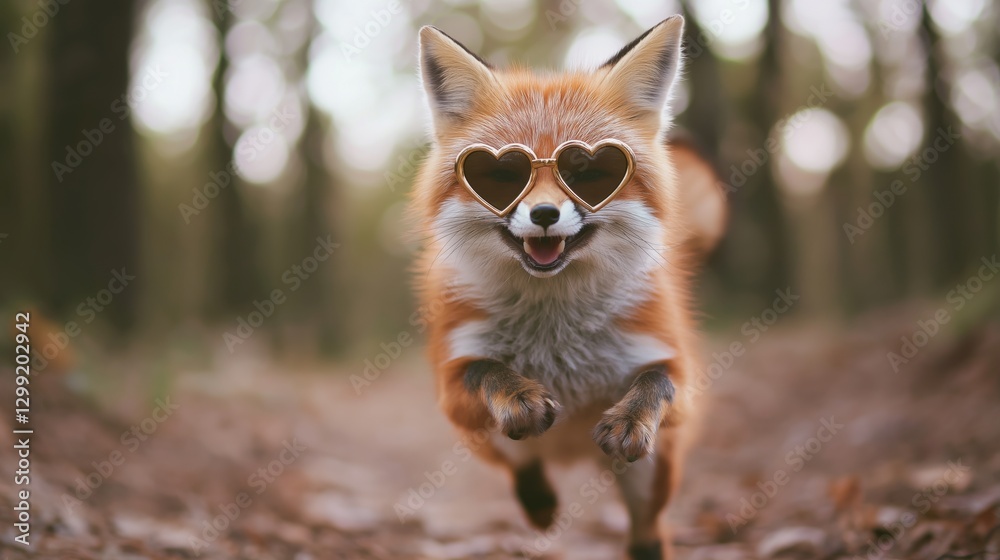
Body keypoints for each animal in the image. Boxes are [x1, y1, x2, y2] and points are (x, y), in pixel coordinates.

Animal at [411, 16, 724, 560]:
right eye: (500, 174)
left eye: (590, 172)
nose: (543, 214)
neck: (555, 329)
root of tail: (575, 454)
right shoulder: (453, 385)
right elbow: (484, 369)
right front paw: (518, 393)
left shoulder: (677, 373)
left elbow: (656, 381)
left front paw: (629, 417)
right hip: (490, 440)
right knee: (525, 467)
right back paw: (540, 505)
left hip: (651, 475)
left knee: (647, 533)